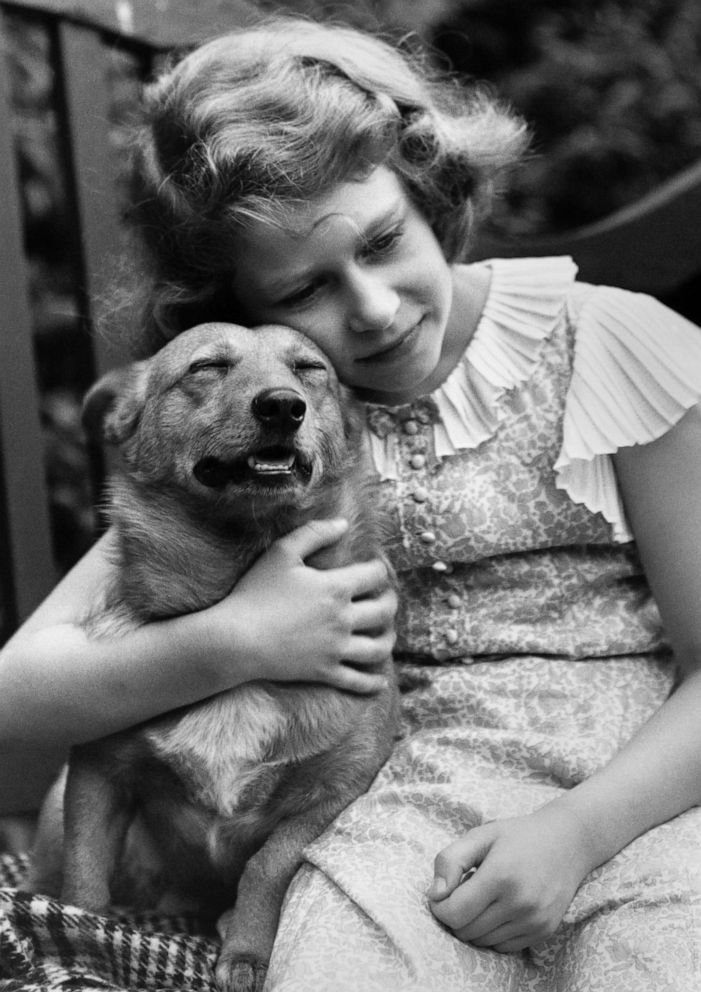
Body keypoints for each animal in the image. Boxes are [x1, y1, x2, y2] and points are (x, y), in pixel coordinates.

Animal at [28, 322, 400, 992]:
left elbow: (268, 866)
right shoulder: (96, 775)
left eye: (310, 369)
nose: (282, 405)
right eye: (206, 367)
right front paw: (79, 945)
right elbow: (84, 885)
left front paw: (247, 951)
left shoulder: (334, 793)